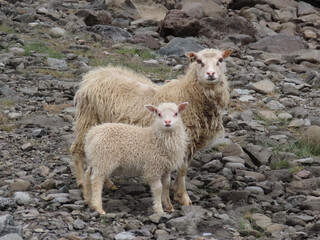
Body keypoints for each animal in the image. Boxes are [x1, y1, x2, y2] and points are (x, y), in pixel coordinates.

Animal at [70, 48, 231, 206]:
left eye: (220, 60)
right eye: (198, 61)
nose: (211, 74)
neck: (189, 95)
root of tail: (92, 75)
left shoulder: (189, 143)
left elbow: (183, 170)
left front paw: (178, 194)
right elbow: (181, 171)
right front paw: (183, 197)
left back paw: (108, 183)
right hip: (88, 120)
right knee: (77, 150)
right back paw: (81, 182)